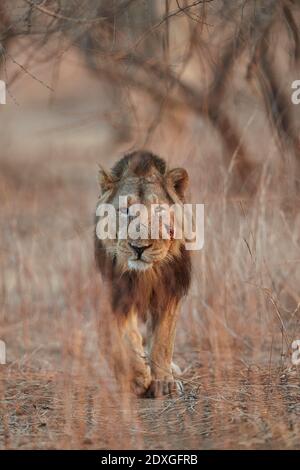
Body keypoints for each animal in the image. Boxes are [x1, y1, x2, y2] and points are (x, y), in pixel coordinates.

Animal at [95, 151, 191, 396]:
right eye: (125, 210)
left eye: (158, 211)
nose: (139, 247)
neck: (145, 274)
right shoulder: (115, 294)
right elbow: (127, 337)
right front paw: (138, 377)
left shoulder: (170, 293)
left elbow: (162, 342)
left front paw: (164, 382)